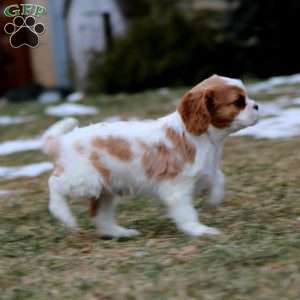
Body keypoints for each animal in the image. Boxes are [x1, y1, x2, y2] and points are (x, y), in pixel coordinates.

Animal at [42, 75, 258, 237]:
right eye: (238, 102)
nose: (256, 106)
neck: (206, 138)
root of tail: (62, 141)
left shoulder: (207, 170)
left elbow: (220, 178)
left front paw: (212, 202)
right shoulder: (176, 188)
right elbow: (187, 213)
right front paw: (199, 230)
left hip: (106, 188)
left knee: (99, 216)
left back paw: (120, 233)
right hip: (85, 181)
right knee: (54, 184)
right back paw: (64, 215)